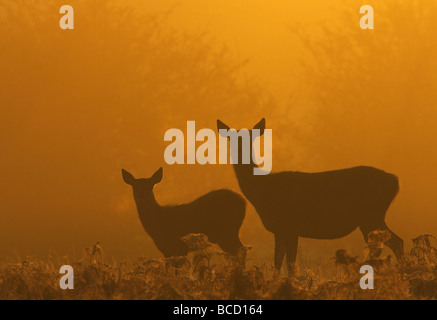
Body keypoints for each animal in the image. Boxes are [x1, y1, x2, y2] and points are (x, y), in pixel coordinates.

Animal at [216, 118, 404, 276]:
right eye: (231, 138)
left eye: (251, 138)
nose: (240, 150)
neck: (262, 190)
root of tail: (395, 181)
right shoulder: (280, 229)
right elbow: (278, 262)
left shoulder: (290, 226)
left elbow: (289, 263)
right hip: (371, 218)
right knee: (391, 244)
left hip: (371, 216)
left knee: (394, 243)